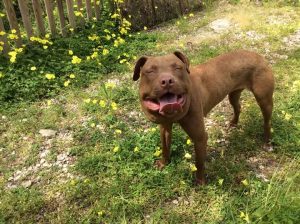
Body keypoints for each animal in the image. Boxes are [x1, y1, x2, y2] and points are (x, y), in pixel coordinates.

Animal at [133, 50, 274, 185]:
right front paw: (163, 163)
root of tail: (257, 55)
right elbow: (165, 147)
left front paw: (200, 182)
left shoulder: (200, 137)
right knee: (237, 107)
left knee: (267, 121)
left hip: (264, 99)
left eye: (178, 68)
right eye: (150, 71)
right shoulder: (165, 128)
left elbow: (199, 162)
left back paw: (267, 142)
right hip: (233, 94)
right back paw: (233, 123)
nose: (167, 81)